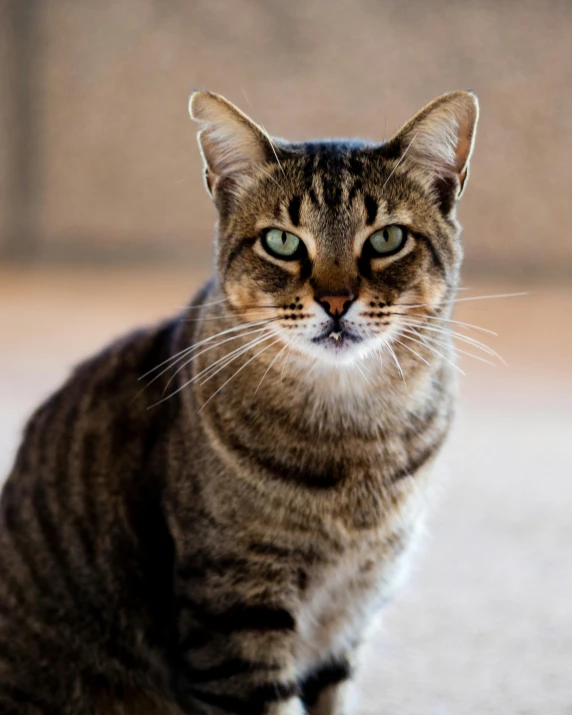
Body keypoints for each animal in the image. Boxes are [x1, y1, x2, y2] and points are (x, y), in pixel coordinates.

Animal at [0, 86, 478, 712]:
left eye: (386, 238)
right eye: (281, 241)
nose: (336, 300)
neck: (353, 440)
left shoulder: (353, 609)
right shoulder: (235, 611)